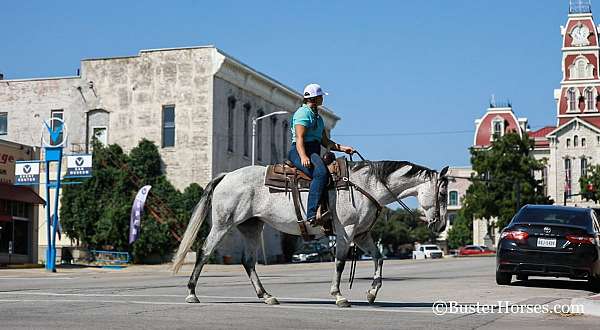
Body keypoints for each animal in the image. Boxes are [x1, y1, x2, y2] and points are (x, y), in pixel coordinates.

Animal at [171, 160, 448, 306]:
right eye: (444, 193)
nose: (441, 226)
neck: (366, 186)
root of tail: (227, 175)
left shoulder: (361, 234)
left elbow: (379, 258)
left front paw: (371, 293)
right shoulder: (346, 232)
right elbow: (339, 263)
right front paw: (339, 296)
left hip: (252, 226)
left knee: (248, 261)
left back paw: (266, 296)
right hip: (222, 224)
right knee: (204, 252)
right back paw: (192, 293)